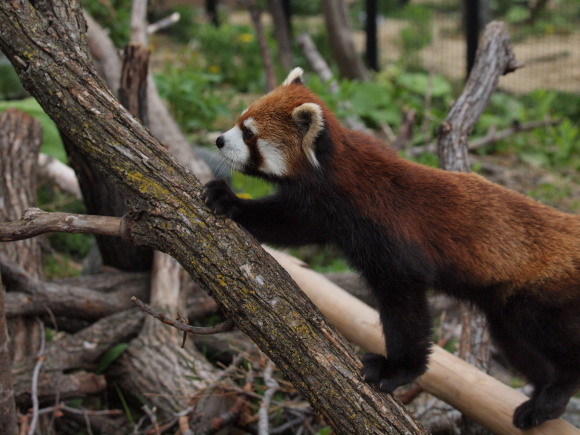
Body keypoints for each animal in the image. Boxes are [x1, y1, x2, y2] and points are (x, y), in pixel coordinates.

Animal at [203, 68, 580, 430]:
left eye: (249, 134)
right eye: (240, 119)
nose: (219, 140)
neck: (336, 176)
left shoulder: (389, 237)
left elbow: (406, 308)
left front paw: (397, 370)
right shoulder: (321, 212)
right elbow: (285, 222)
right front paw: (229, 201)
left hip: (543, 294)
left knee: (554, 340)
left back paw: (556, 391)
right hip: (505, 305)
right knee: (516, 343)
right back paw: (543, 395)